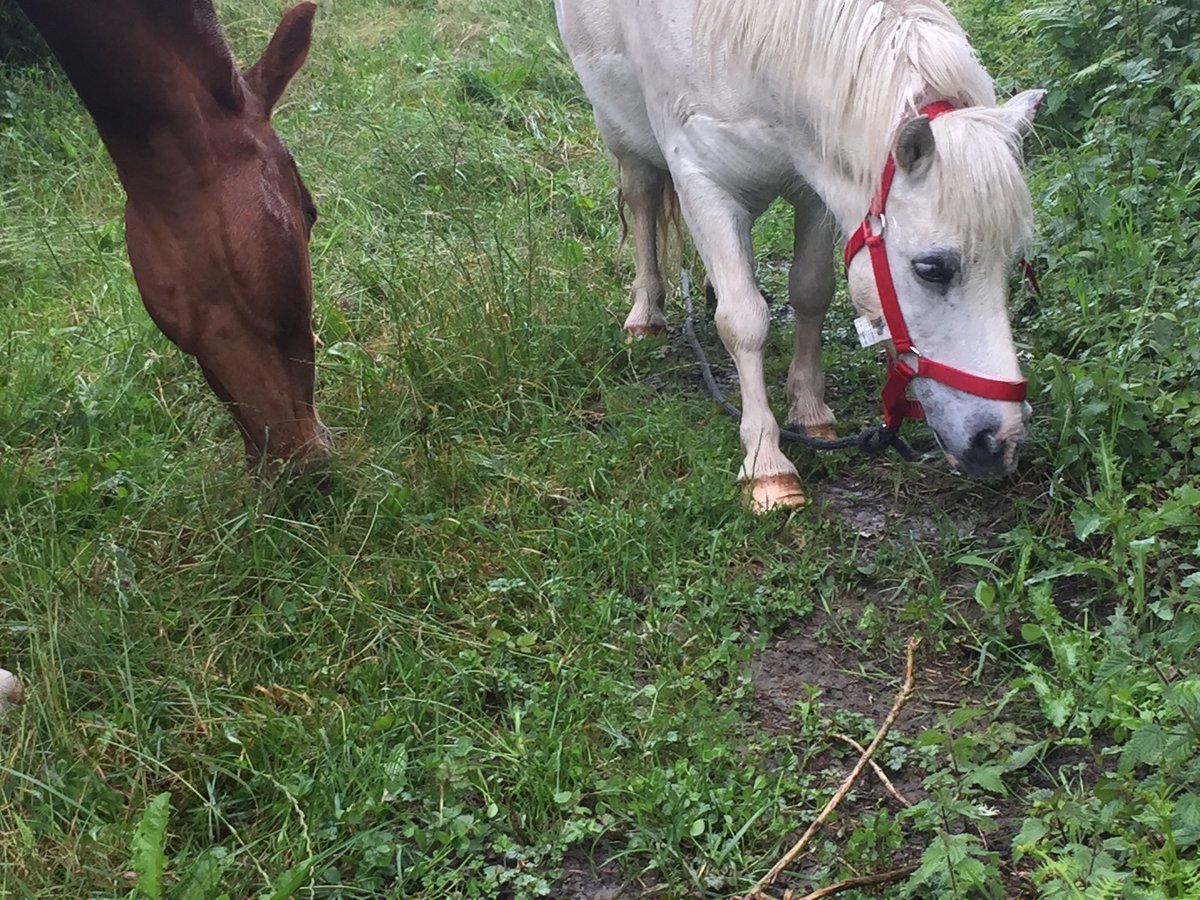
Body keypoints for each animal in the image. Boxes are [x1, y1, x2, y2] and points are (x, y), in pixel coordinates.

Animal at [554, 0, 1044, 511]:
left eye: (1014, 264)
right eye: (931, 269)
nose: (1000, 441)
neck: (755, 48)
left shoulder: (815, 184)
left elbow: (811, 292)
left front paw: (810, 412)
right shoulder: (703, 185)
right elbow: (744, 321)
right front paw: (766, 464)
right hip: (619, 126)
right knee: (644, 198)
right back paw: (646, 315)